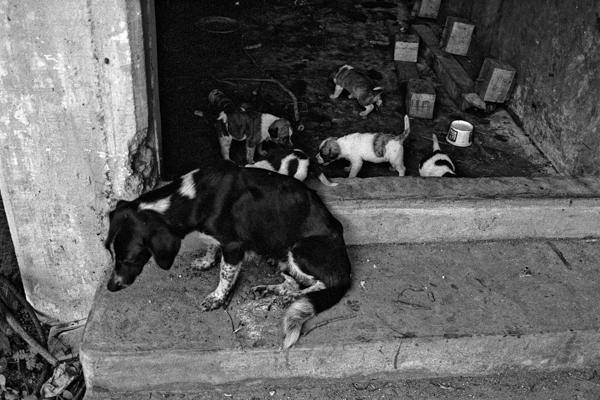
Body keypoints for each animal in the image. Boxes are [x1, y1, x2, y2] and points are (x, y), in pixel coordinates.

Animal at [104, 161, 352, 348]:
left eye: (129, 258)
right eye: (109, 251)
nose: (110, 287)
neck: (190, 196)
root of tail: (346, 269)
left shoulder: (233, 246)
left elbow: (225, 274)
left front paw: (216, 298)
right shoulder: (218, 240)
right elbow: (211, 247)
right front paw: (206, 261)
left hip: (299, 249)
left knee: (321, 284)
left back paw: (291, 297)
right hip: (278, 250)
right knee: (293, 281)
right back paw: (271, 290)